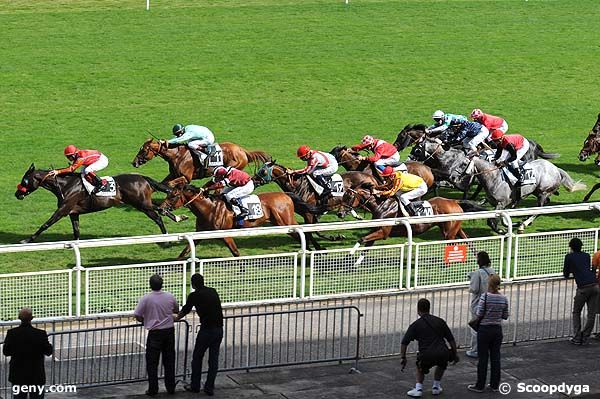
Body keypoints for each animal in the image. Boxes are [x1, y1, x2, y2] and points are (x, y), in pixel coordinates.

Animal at [14, 163, 172, 244]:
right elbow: (76, 231)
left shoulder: (63, 210)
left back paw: (167, 238)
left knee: (158, 217)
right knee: (158, 211)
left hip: (141, 204)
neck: (65, 185)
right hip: (140, 204)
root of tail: (143, 178)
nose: (17, 194)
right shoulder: (73, 212)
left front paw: (26, 240)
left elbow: (45, 224)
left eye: (24, 181)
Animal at [132, 140, 270, 184]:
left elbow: (170, 184)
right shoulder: (173, 174)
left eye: (143, 150)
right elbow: (163, 183)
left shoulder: (186, 177)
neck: (177, 155)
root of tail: (242, 150)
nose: (134, 163)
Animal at [159, 185, 298, 260]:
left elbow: (235, 252)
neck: (209, 208)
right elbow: (185, 251)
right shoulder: (201, 233)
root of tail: (286, 195)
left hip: (285, 223)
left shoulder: (225, 235)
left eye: (173, 196)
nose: (160, 209)